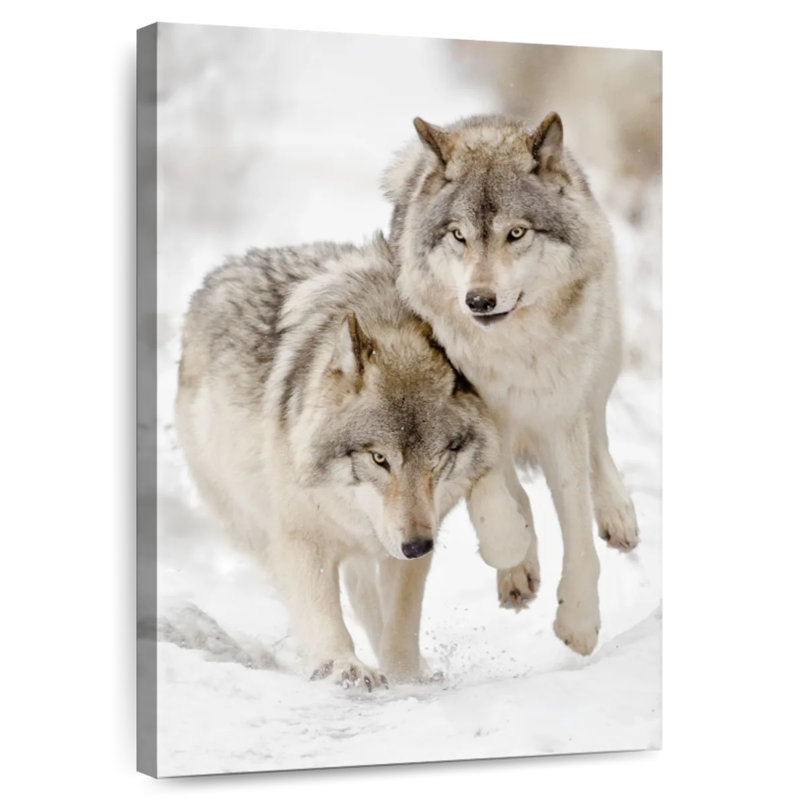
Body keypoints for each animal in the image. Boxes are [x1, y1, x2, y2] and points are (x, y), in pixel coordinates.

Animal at [174, 235, 504, 689]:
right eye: (379, 458)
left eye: (437, 458)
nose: (417, 545)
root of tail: (218, 274)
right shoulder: (301, 537)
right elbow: (322, 612)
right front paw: (343, 667)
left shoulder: (413, 537)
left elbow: (400, 622)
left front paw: (406, 676)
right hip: (254, 525)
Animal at [384, 113, 640, 656]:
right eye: (459, 235)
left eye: (516, 233)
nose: (479, 300)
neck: (513, 355)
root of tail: (483, 121)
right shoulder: (470, 410)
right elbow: (492, 502)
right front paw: (512, 552)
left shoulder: (559, 417)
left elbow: (578, 531)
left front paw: (579, 622)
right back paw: (520, 568)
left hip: (603, 360)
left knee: (599, 438)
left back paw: (618, 516)